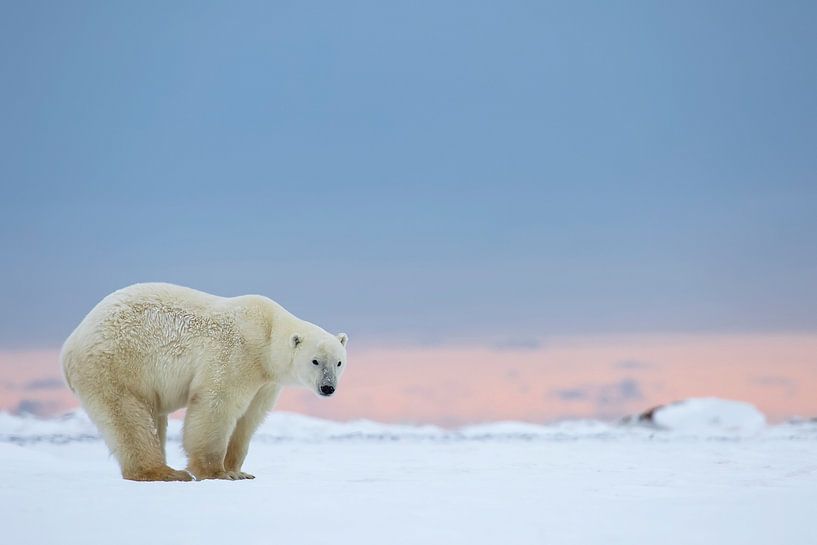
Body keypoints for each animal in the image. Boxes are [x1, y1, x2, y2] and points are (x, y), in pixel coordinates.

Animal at [60, 282, 348, 481]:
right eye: (315, 361)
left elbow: (249, 419)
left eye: (338, 362)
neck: (266, 335)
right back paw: (166, 472)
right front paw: (217, 473)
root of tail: (70, 344)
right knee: (130, 418)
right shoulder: (237, 355)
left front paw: (240, 471)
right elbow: (216, 405)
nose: (328, 388)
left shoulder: (266, 382)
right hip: (117, 365)